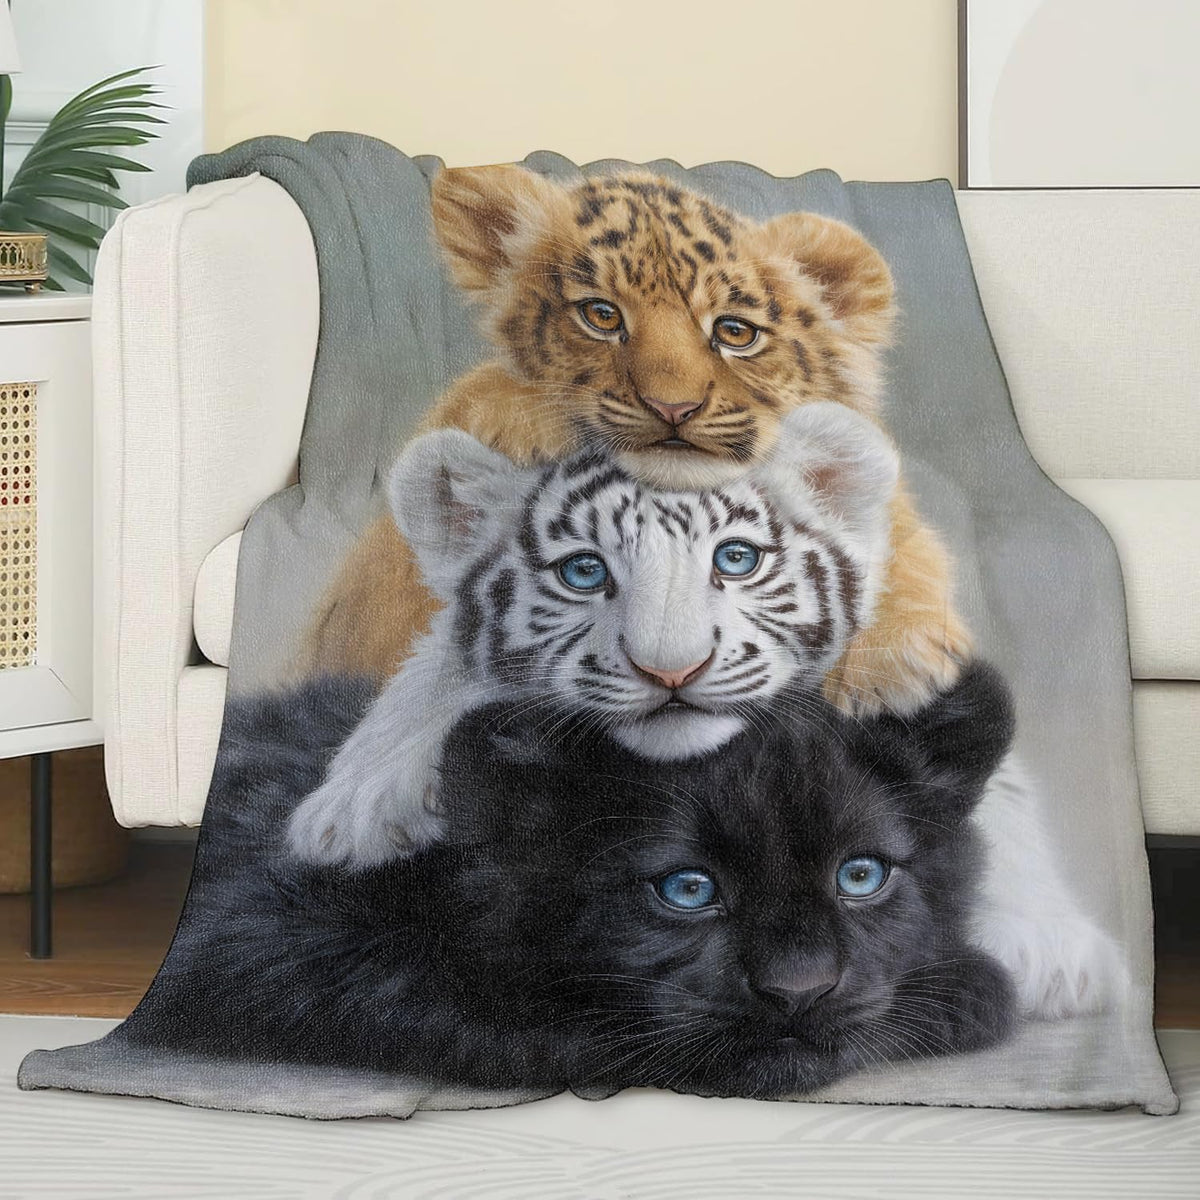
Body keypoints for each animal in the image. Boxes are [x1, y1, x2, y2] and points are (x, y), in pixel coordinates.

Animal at [289, 402, 1122, 1021]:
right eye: (583, 571)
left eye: (736, 559)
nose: (670, 669)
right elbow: (437, 670)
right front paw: (357, 805)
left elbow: (992, 783)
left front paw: (1052, 951)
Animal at [300, 165, 971, 718]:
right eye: (601, 315)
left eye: (736, 331)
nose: (673, 408)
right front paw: (520, 422)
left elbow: (905, 558)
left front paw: (889, 669)